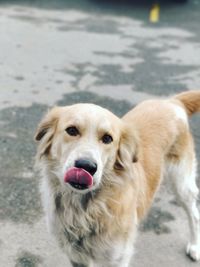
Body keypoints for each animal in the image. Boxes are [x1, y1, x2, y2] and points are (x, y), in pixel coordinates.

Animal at [34, 91, 200, 266]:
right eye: (71, 130)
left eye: (107, 138)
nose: (86, 166)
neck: (87, 208)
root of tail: (172, 102)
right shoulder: (76, 256)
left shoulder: (117, 258)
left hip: (182, 184)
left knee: (195, 215)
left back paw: (194, 247)